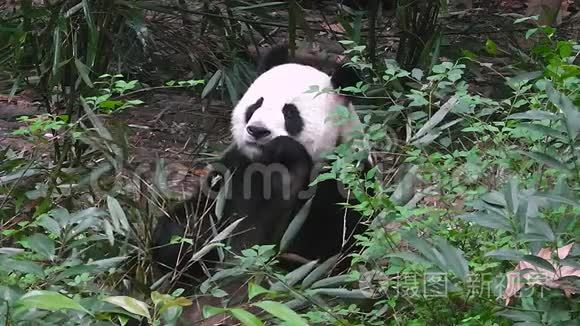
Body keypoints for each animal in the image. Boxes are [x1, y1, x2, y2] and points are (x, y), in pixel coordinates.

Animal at [152, 44, 370, 290]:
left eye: (290, 113)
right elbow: (201, 215)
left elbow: (318, 248)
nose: (257, 130)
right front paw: (181, 245)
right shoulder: (234, 171)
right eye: (257, 104)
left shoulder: (340, 182)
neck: (266, 164)